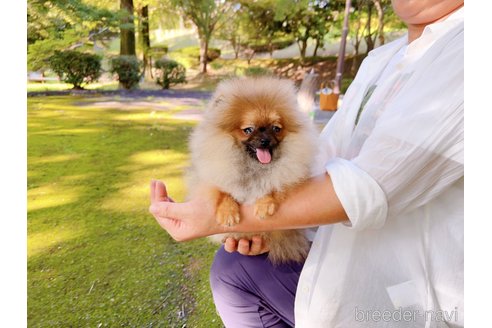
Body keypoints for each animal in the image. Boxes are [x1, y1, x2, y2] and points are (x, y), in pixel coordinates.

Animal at [186, 77, 318, 264]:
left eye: (276, 128)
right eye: (248, 129)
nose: (265, 140)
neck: (253, 166)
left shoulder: (289, 175)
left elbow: (273, 184)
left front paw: (264, 204)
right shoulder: (210, 178)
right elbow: (221, 192)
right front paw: (228, 213)